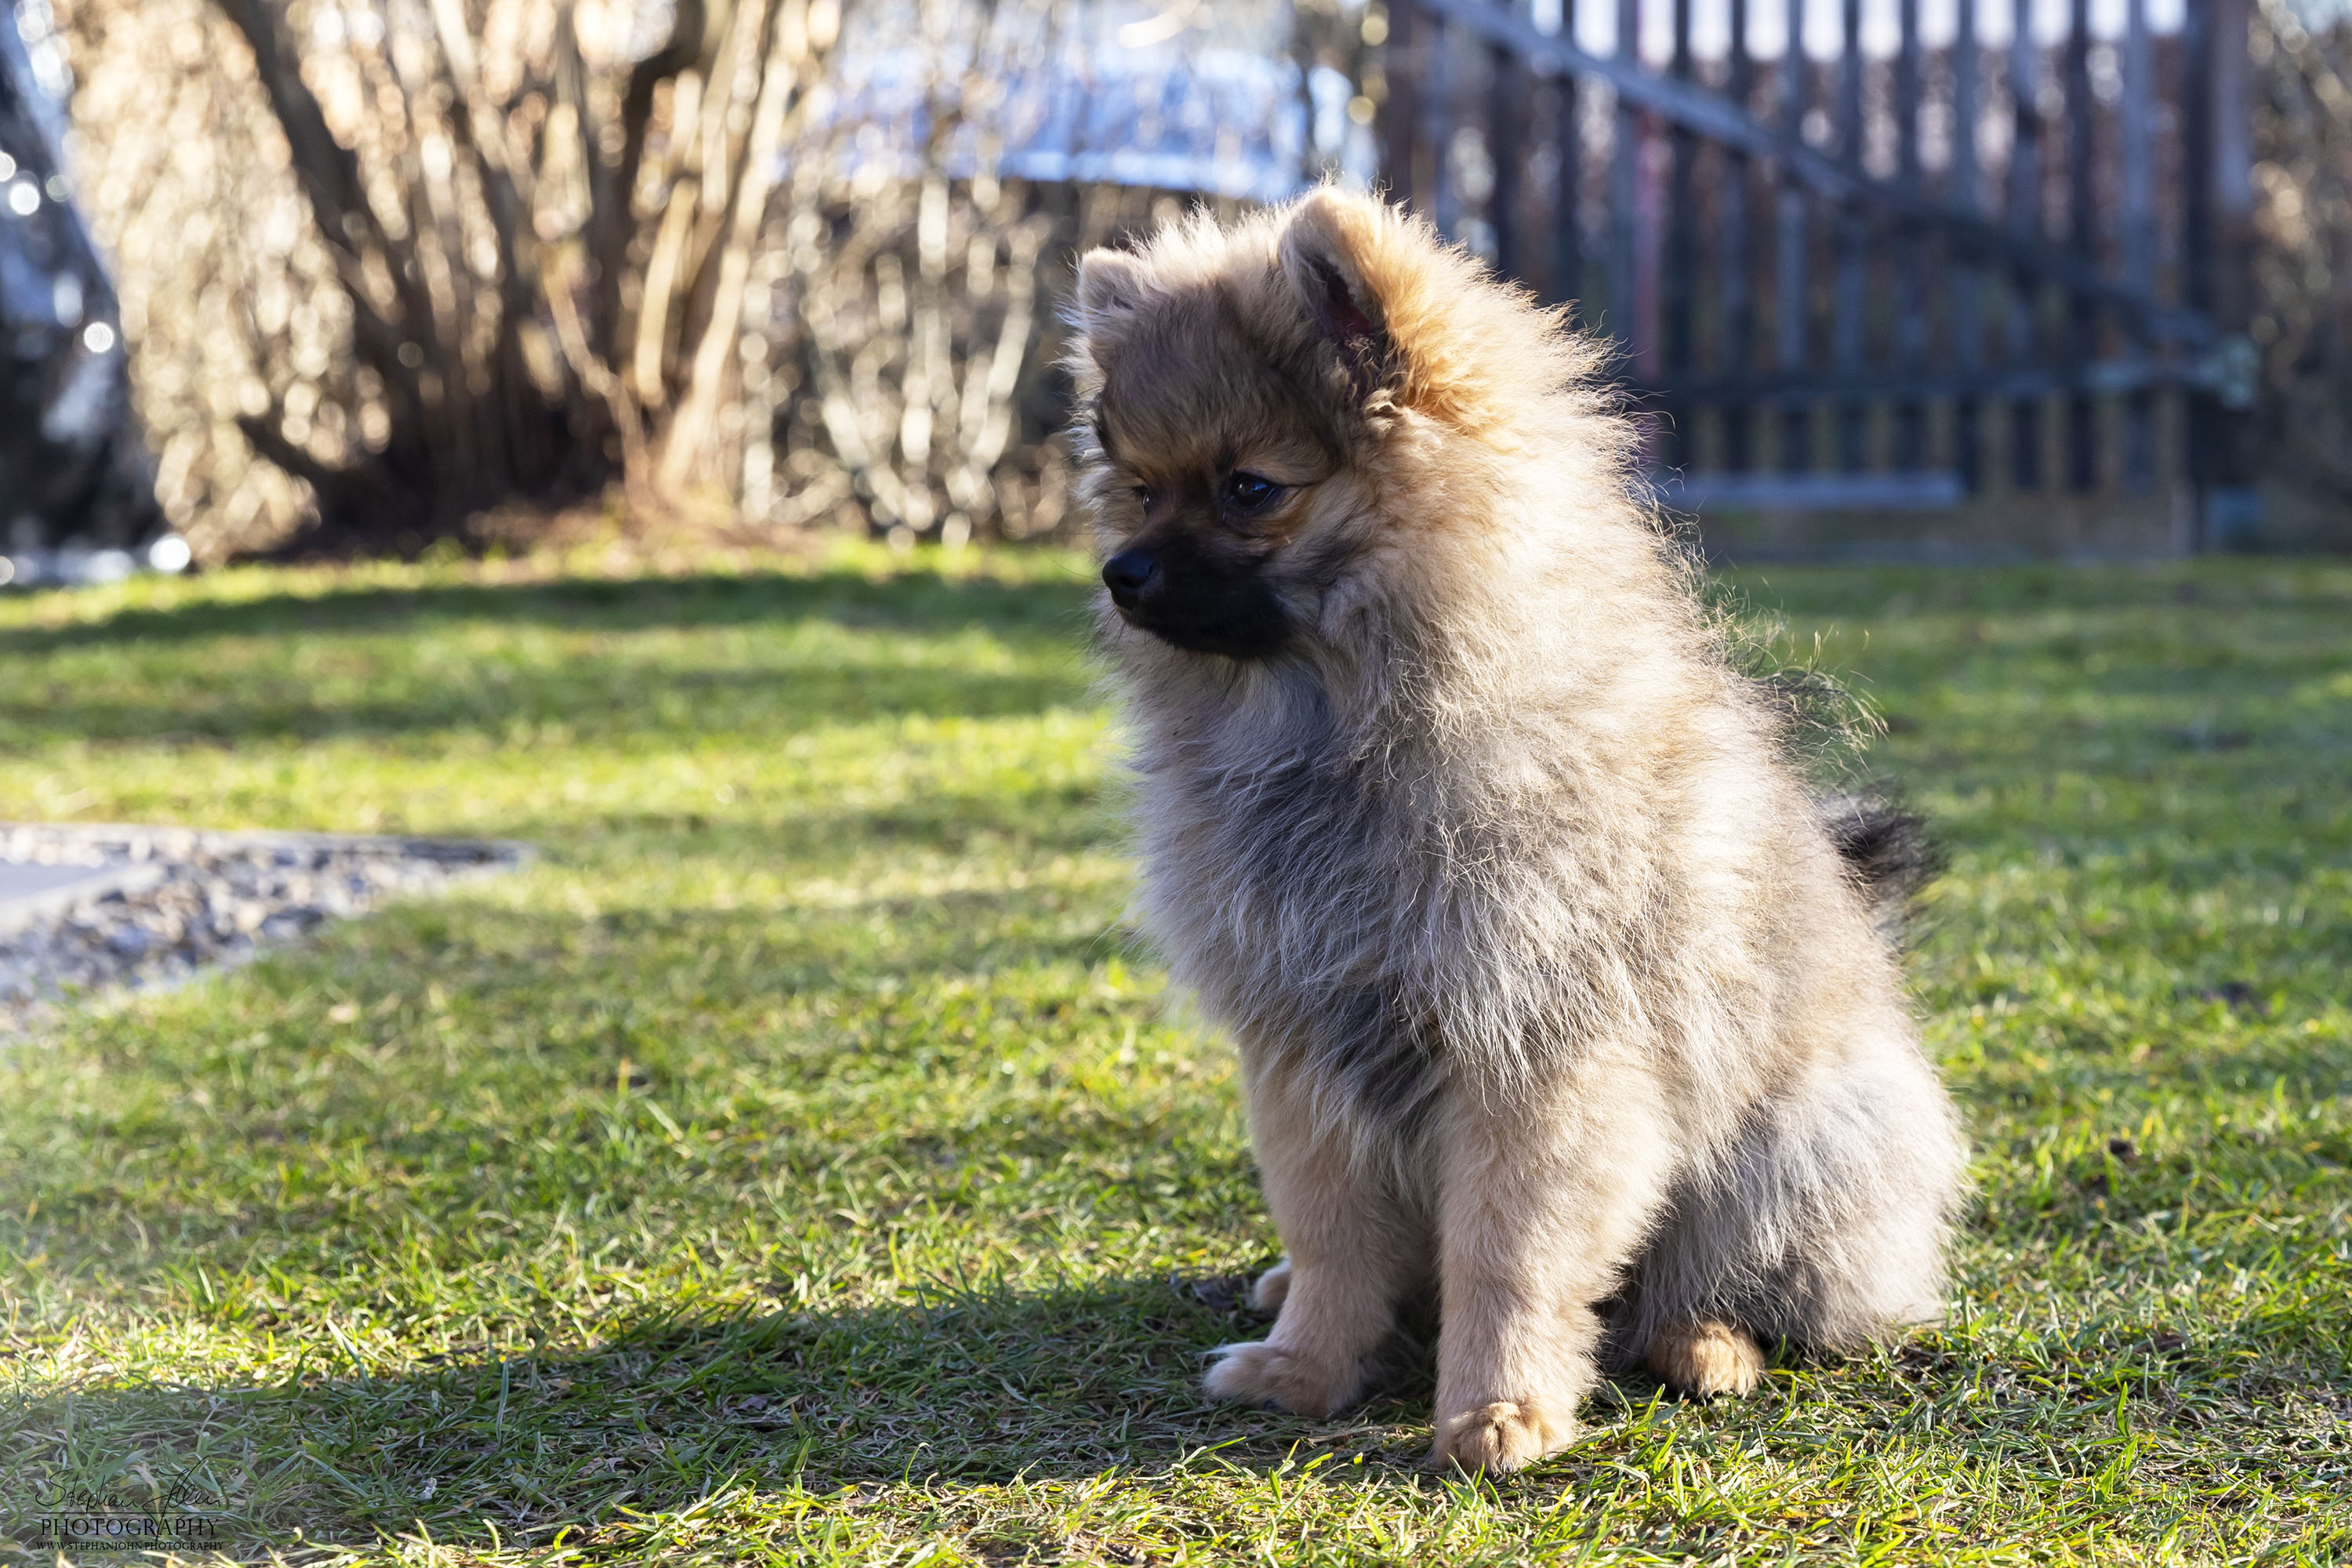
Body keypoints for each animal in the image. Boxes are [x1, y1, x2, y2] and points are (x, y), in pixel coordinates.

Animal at [1068, 190, 1966, 1476]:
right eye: (1140, 489)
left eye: (1249, 489)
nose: (1124, 572)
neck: (1340, 729)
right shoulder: (1301, 1045)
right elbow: (1331, 1231)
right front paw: (1305, 1365)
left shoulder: (1538, 1054)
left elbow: (1512, 1252)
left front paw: (1500, 1410)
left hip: (1794, 1146)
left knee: (1724, 1278)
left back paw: (1706, 1345)